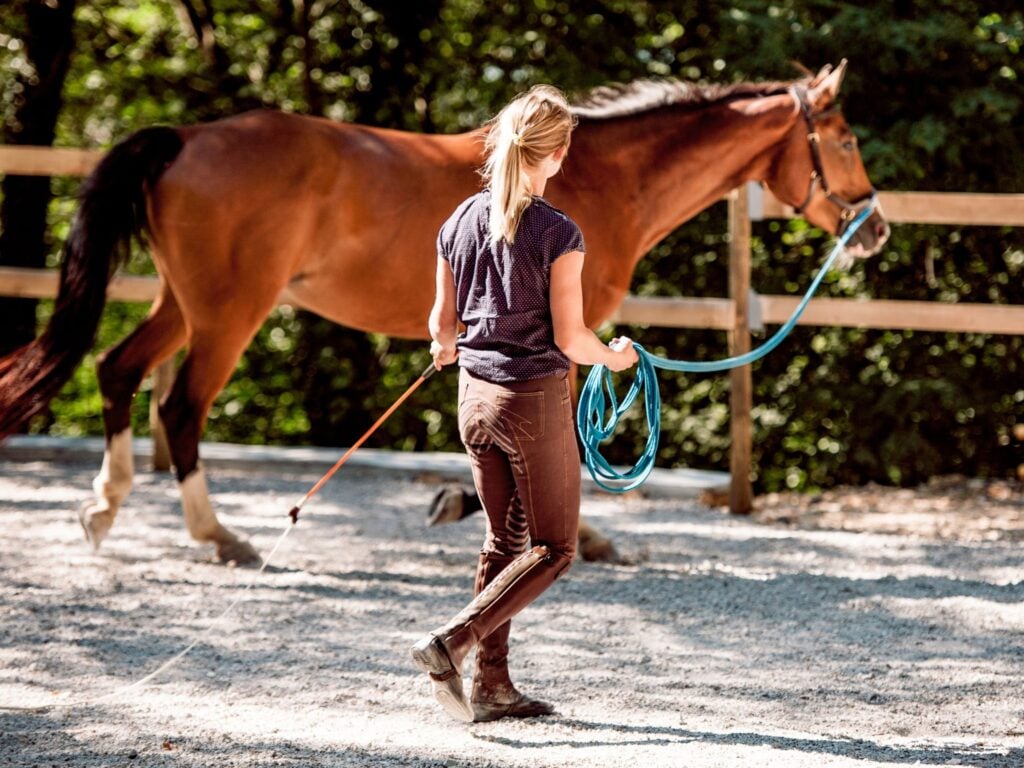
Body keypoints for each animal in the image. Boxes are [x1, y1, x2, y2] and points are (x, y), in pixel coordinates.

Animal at [0, 61, 888, 565]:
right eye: (844, 138)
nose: (875, 227)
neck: (599, 175)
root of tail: (186, 138)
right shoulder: (564, 331)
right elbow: (558, 432)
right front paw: (576, 533)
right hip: (228, 313)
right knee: (181, 407)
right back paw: (219, 536)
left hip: (183, 303)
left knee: (118, 370)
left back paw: (103, 510)